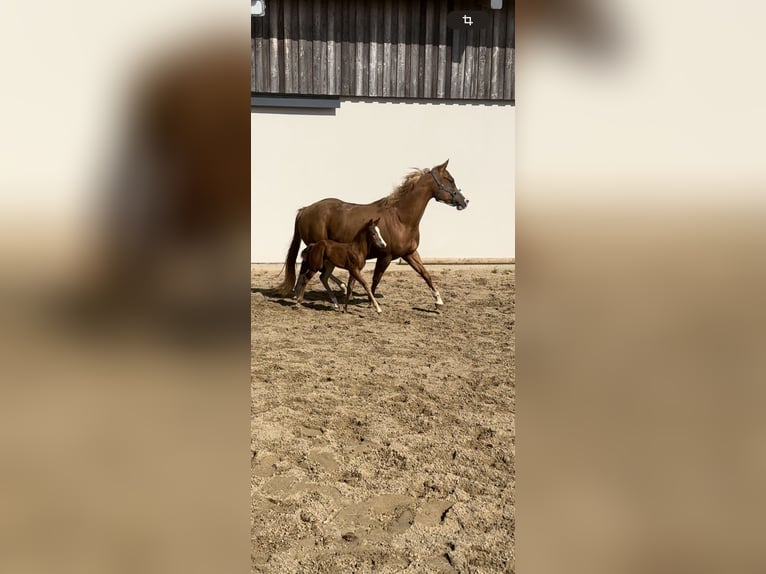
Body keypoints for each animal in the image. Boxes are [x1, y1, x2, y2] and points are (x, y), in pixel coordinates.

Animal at [276, 160, 468, 308]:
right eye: (450, 180)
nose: (464, 201)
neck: (401, 218)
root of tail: (305, 209)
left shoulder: (409, 253)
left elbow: (426, 274)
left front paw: (439, 301)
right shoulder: (385, 256)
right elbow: (376, 279)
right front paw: (371, 302)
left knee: (315, 271)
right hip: (317, 248)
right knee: (311, 270)